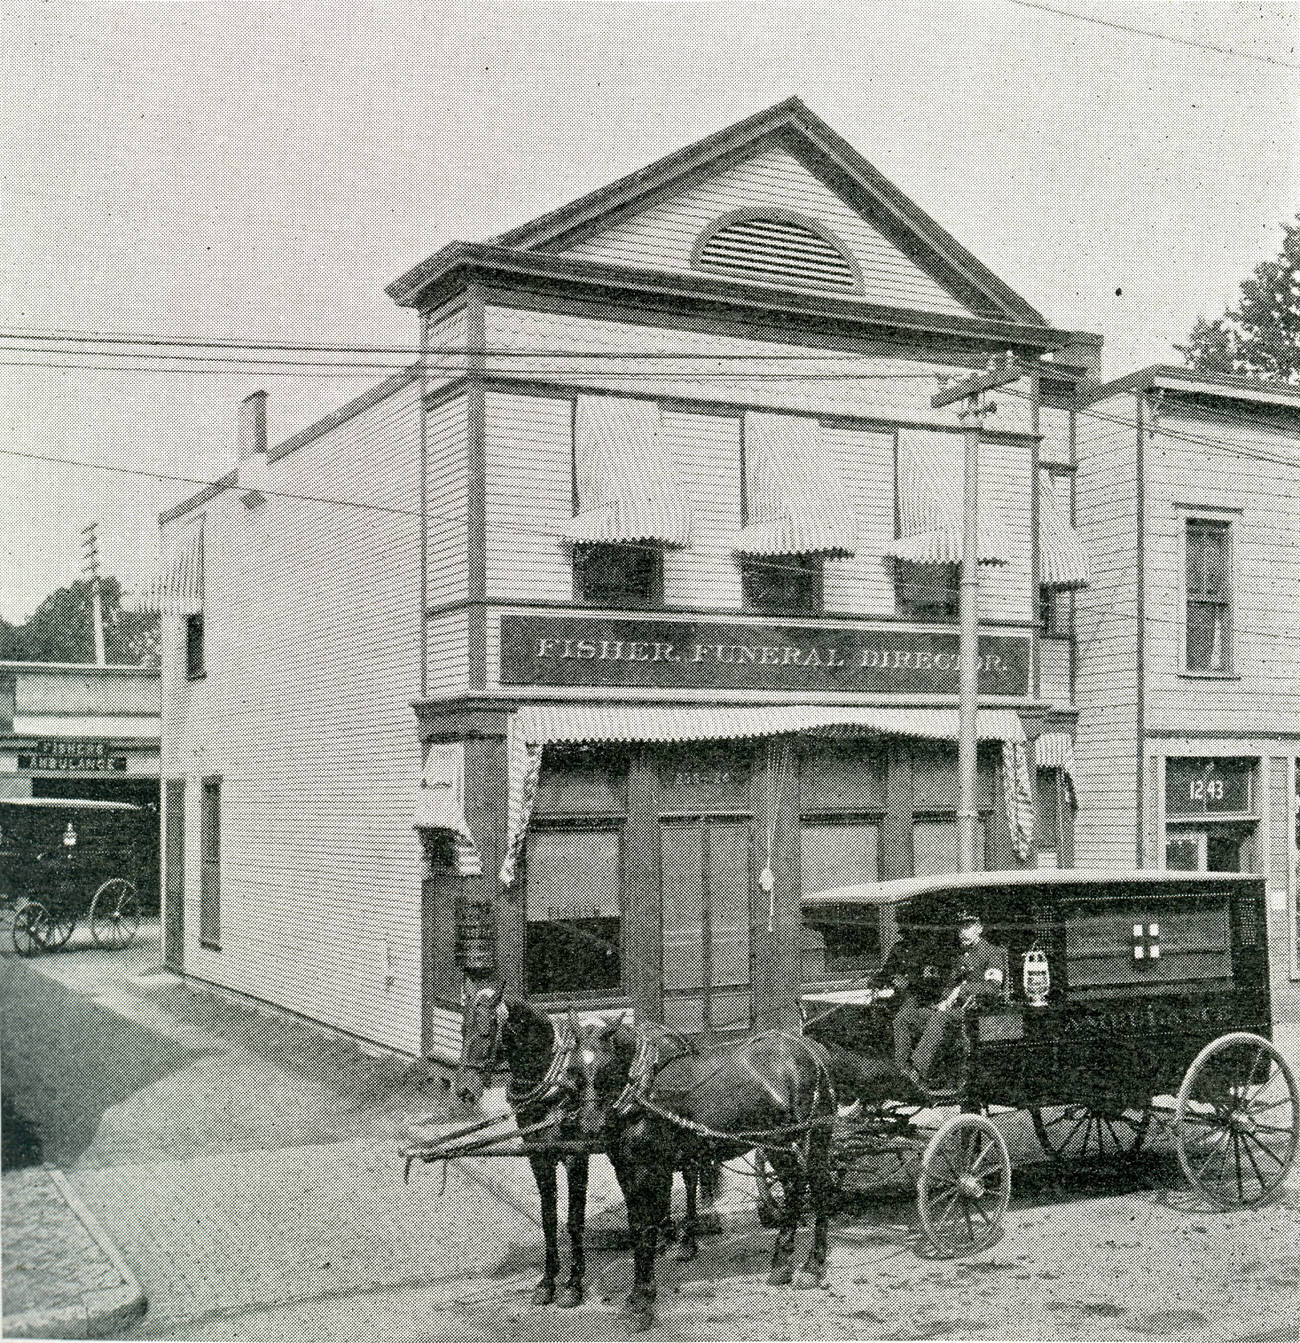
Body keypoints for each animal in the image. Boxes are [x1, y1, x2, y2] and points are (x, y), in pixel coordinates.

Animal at [582, 1020, 838, 1326]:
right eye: (574, 1068)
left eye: (606, 1065)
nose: (590, 1127)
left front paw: (644, 1299)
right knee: (796, 1187)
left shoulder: (655, 1169)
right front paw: (636, 1295)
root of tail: (813, 1051)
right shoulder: (626, 1170)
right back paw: (782, 1263)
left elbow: (648, 1227)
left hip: (803, 1140)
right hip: (785, 1145)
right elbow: (637, 1228)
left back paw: (812, 1266)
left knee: (818, 1189)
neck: (642, 1094)